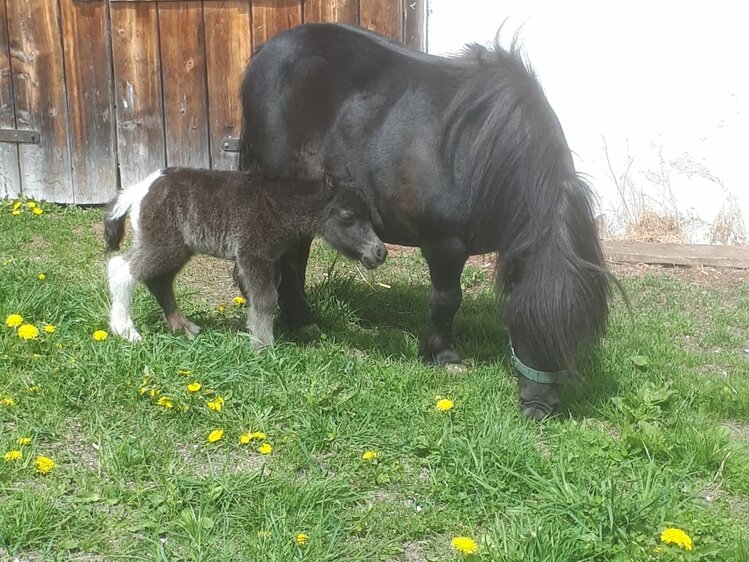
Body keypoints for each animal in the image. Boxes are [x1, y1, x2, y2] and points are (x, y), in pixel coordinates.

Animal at [243, 24, 612, 416]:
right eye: (520, 322)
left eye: (577, 333)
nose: (538, 409)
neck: (480, 151)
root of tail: (266, 52)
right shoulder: (444, 244)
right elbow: (447, 298)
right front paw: (442, 355)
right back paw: (301, 322)